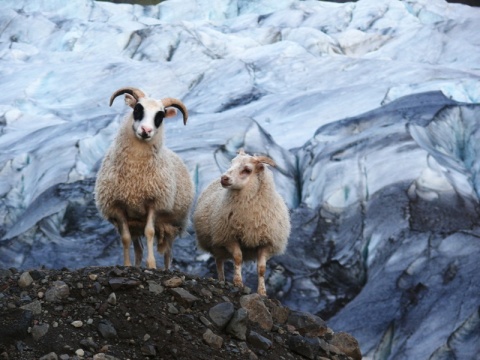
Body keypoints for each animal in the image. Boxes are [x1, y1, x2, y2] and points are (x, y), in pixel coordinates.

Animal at [94, 87, 194, 270]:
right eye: (137, 109)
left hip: (172, 226)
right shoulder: (118, 206)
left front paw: (152, 265)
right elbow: (125, 238)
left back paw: (166, 269)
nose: (146, 130)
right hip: (135, 225)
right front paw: (127, 265)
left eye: (160, 116)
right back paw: (136, 264)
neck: (135, 170)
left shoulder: (154, 203)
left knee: (168, 252)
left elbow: (150, 232)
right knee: (138, 248)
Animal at [193, 149, 290, 296]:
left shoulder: (266, 242)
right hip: (217, 243)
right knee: (219, 261)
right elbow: (238, 258)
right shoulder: (229, 237)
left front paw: (262, 292)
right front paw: (238, 282)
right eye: (232, 163)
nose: (224, 178)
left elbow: (262, 269)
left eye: (247, 169)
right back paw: (221, 280)